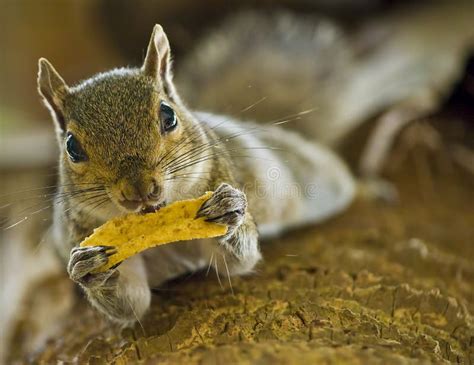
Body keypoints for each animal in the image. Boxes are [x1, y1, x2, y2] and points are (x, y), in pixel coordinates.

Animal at [37, 24, 356, 324]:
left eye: (168, 116)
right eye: (71, 147)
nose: (139, 189)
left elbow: (239, 261)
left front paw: (227, 213)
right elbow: (131, 302)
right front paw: (89, 269)